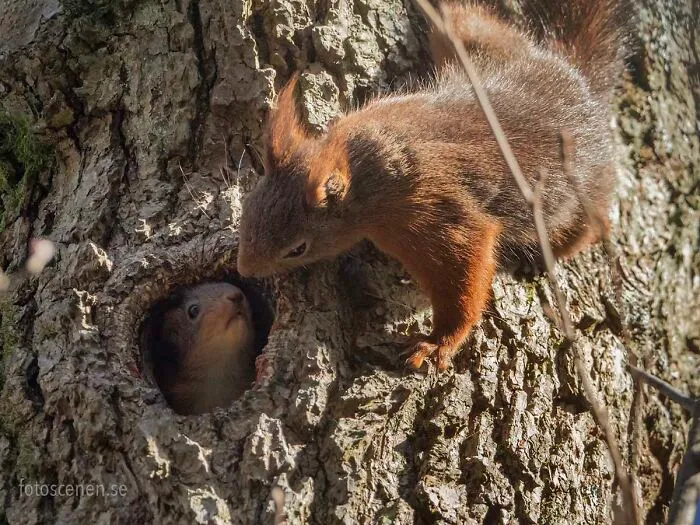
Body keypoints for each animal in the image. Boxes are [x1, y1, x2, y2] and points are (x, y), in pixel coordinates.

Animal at [236, 0, 630, 370]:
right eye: (246, 210)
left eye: (297, 249)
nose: (244, 271)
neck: (364, 170)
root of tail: (578, 81)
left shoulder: (431, 210)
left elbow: (462, 270)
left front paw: (439, 342)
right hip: (475, 44)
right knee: (468, 19)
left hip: (582, 195)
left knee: (590, 224)